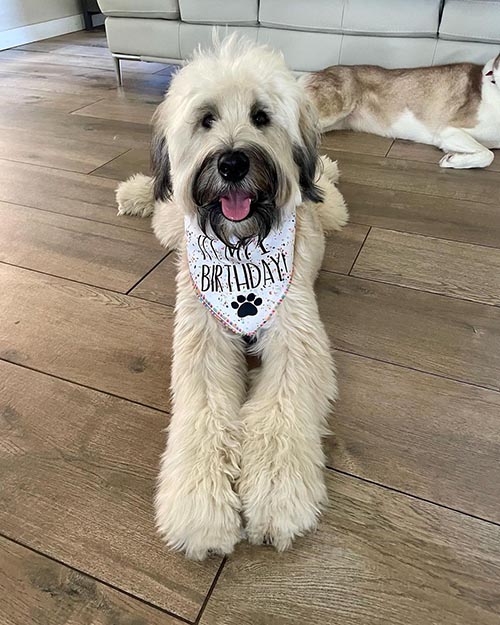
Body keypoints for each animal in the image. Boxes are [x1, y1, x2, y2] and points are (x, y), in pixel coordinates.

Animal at [116, 36, 348, 560]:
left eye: (261, 116)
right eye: (206, 119)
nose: (232, 163)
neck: (241, 246)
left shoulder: (297, 336)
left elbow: (280, 413)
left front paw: (279, 498)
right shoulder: (202, 337)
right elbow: (205, 413)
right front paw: (200, 509)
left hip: (329, 214)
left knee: (333, 196)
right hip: (172, 223)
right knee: (163, 200)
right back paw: (138, 191)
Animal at [300, 55, 500, 167]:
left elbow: (486, 153)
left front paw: (455, 158)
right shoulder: (449, 131)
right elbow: (488, 155)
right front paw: (452, 161)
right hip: (335, 107)